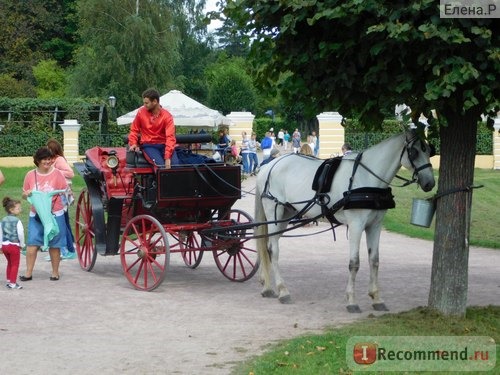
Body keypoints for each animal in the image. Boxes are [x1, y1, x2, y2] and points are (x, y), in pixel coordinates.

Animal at [256, 131, 436, 312]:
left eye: (429, 151)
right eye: (415, 152)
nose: (430, 183)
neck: (366, 178)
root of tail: (269, 166)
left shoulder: (375, 225)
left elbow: (374, 260)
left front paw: (376, 298)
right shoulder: (356, 225)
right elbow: (354, 263)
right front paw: (351, 301)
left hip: (286, 214)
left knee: (268, 246)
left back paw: (267, 287)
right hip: (274, 212)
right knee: (273, 249)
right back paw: (282, 290)